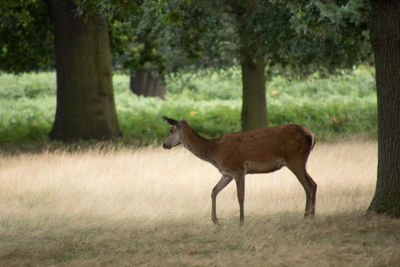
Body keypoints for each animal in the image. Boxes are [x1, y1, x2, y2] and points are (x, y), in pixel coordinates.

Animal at [162, 116, 316, 226]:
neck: (215, 152)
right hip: (300, 162)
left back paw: (306, 216)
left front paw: (241, 221)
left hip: (295, 159)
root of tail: (311, 135)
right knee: (313, 184)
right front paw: (215, 220)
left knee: (307, 186)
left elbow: (240, 196)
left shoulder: (239, 168)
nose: (164, 144)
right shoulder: (227, 173)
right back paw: (312, 215)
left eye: (171, 130)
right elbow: (214, 190)